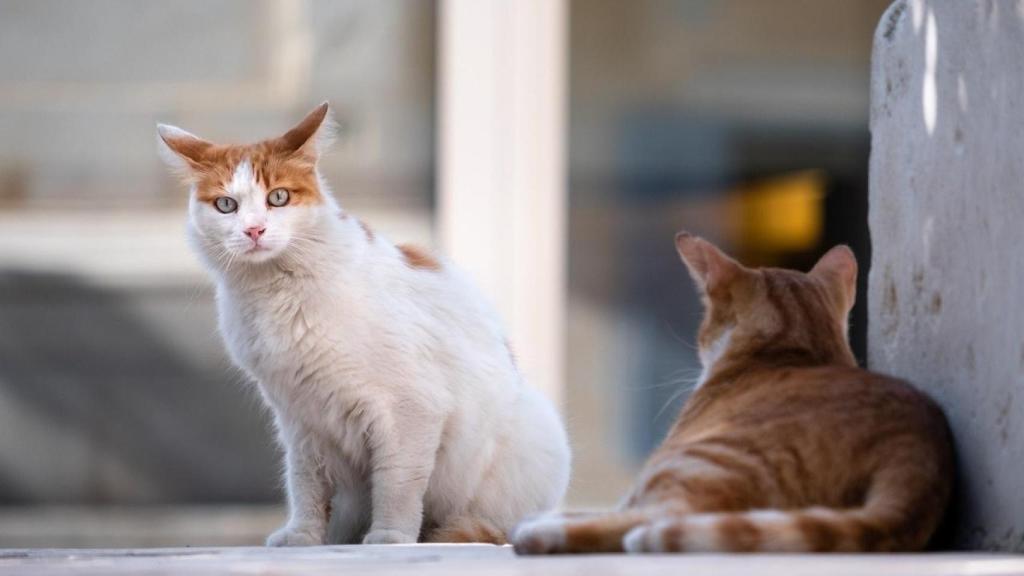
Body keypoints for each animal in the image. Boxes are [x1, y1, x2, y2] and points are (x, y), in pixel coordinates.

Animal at [157, 101, 569, 541]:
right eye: (226, 206)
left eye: (278, 197)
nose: (254, 230)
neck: (276, 292)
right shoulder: (299, 420)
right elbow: (304, 485)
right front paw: (303, 536)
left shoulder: (408, 410)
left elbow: (396, 484)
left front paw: (390, 537)